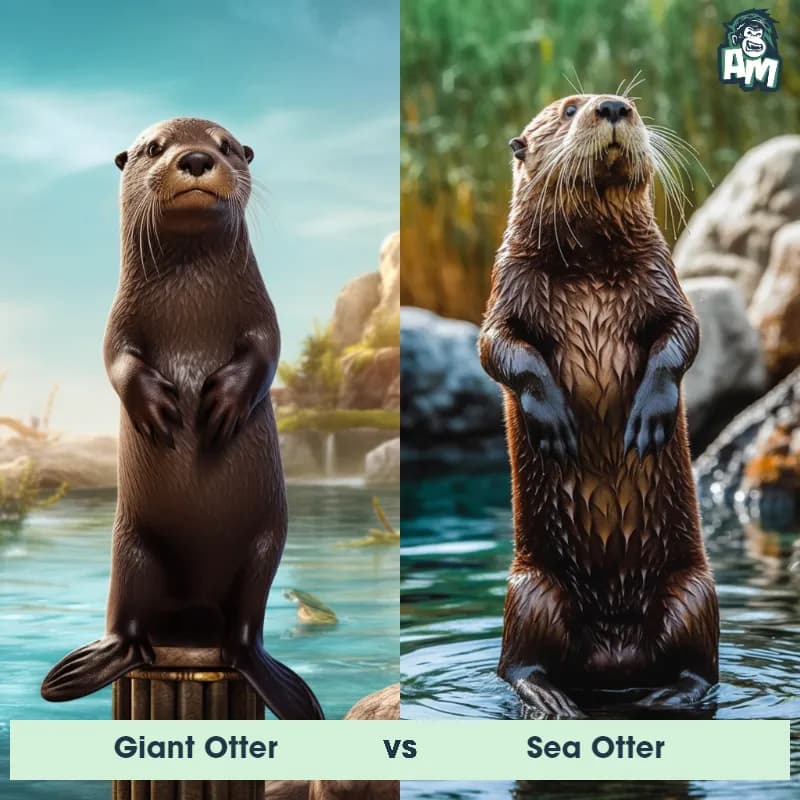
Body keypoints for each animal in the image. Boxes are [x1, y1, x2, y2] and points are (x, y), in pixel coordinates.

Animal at [41, 117, 324, 720]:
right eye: (153, 148)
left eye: (227, 146)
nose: (194, 158)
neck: (191, 306)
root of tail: (193, 625)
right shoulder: (118, 322)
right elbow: (116, 361)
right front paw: (161, 410)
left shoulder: (263, 317)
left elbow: (266, 353)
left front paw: (220, 404)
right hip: (133, 550)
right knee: (128, 622)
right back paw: (93, 663)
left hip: (264, 547)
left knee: (245, 629)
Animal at [478, 94, 719, 718]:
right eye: (568, 109)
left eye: (632, 102)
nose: (612, 106)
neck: (587, 271)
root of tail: (615, 658)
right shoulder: (506, 287)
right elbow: (498, 349)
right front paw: (555, 422)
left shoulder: (664, 279)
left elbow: (684, 336)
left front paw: (648, 420)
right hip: (532, 592)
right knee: (517, 664)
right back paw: (551, 697)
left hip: (693, 591)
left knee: (700, 665)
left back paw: (668, 694)